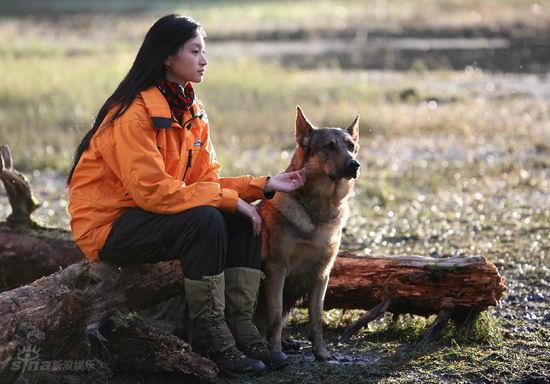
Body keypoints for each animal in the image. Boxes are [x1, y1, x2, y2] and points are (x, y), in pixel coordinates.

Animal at [260, 106, 362, 362]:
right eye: (329, 146)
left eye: (351, 146)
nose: (354, 165)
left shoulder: (322, 274)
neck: (318, 211)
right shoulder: (276, 270)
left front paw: (321, 353)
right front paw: (275, 353)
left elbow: (317, 318)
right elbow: (275, 317)